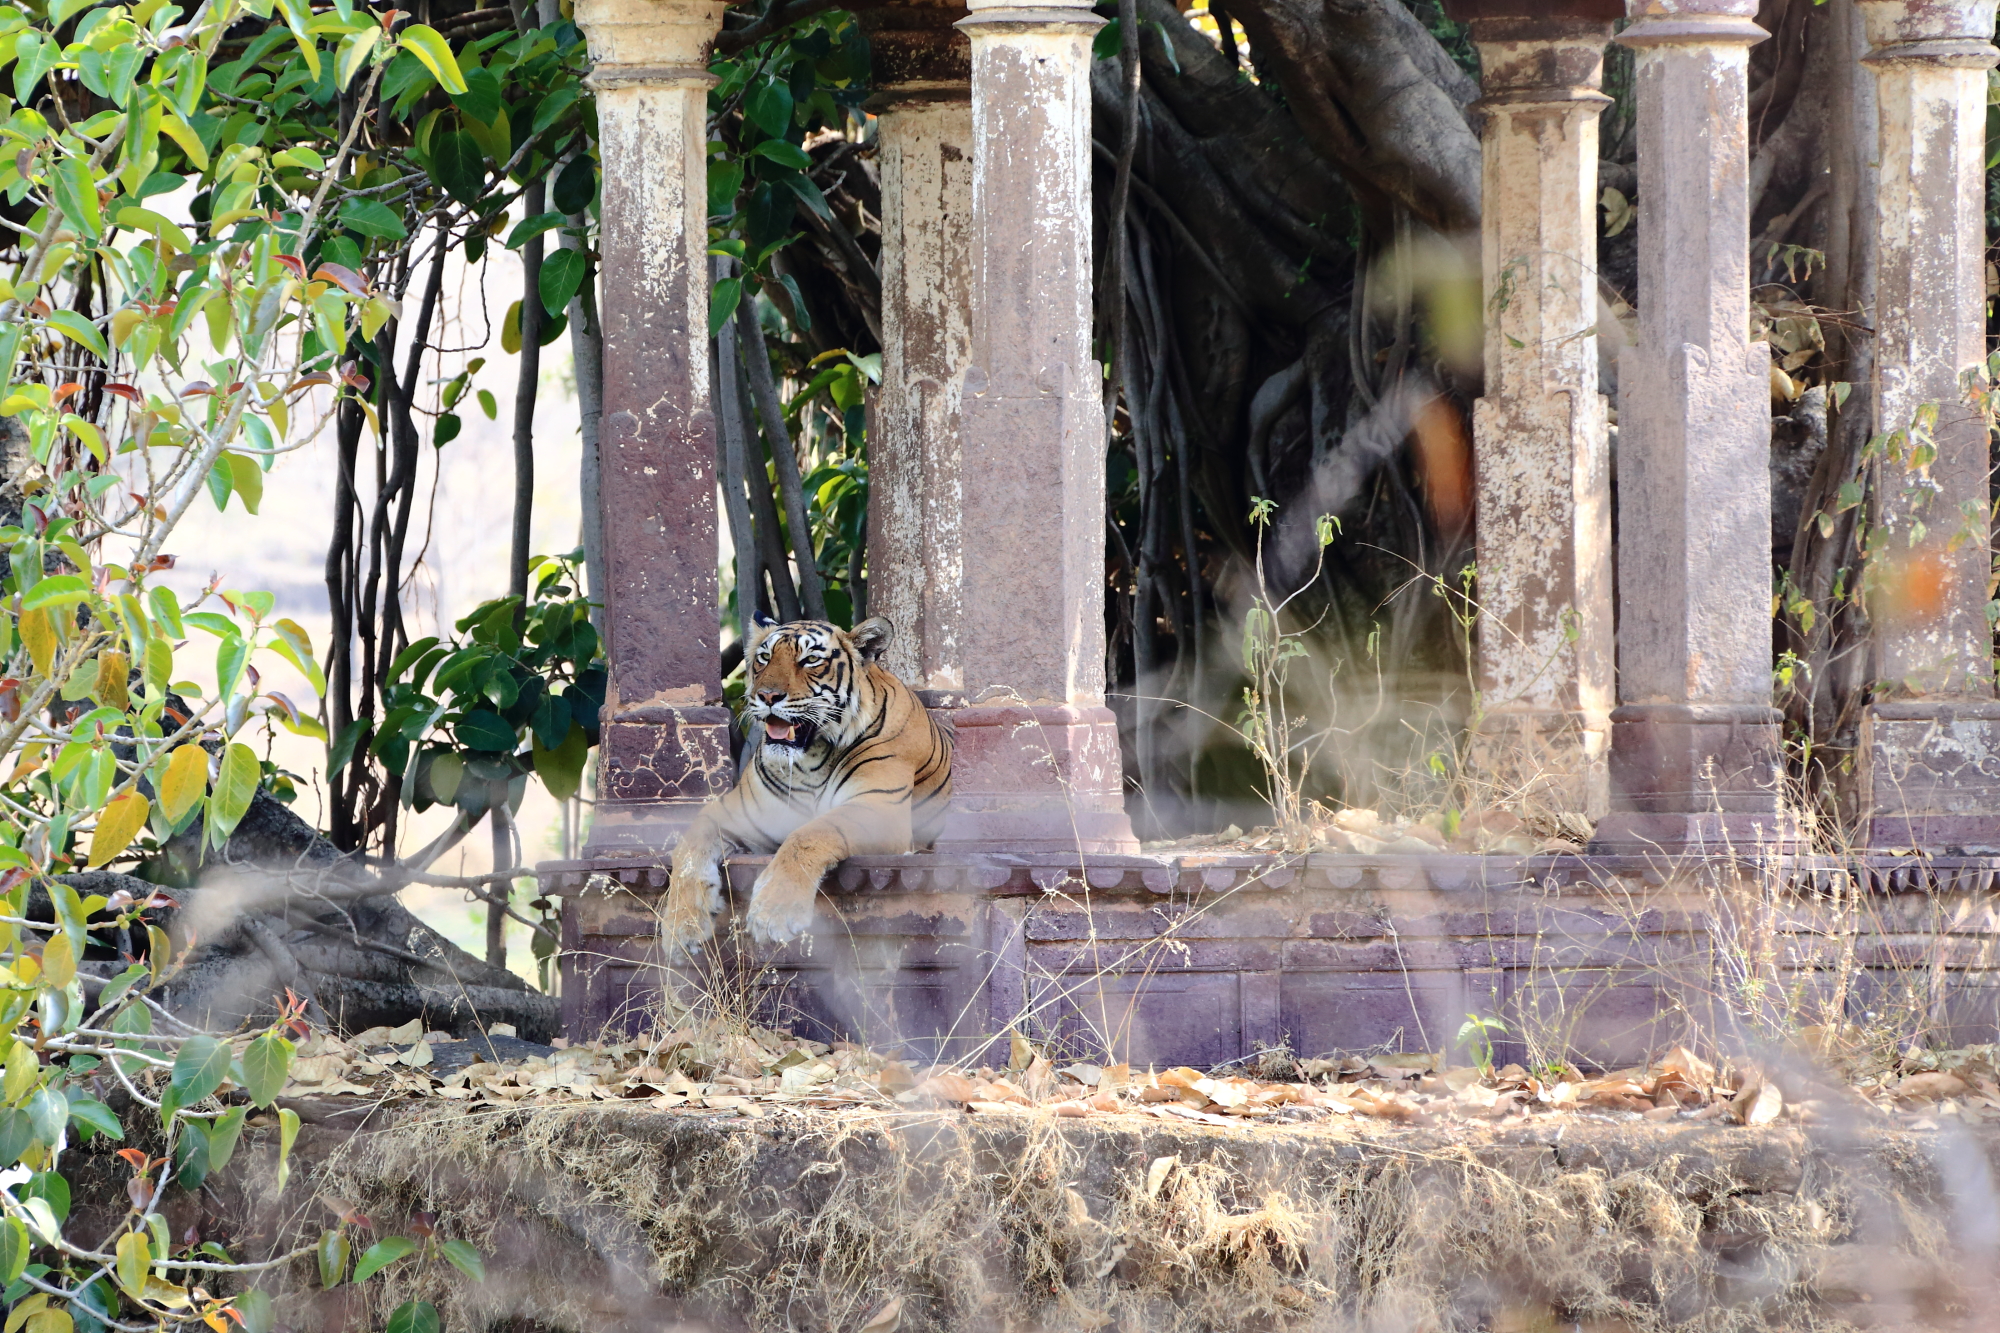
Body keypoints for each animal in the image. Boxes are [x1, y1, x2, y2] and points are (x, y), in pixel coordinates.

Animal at [659, 613, 953, 952]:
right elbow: (688, 849)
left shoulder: (879, 808)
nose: (767, 696)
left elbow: (809, 834)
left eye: (810, 659)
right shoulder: (730, 812)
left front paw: (774, 914)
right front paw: (682, 926)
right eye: (765, 657)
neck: (810, 761)